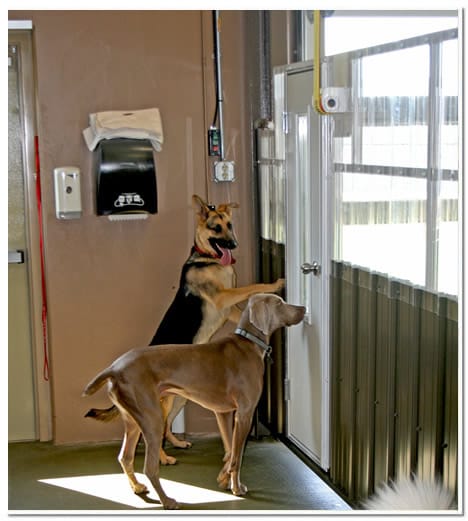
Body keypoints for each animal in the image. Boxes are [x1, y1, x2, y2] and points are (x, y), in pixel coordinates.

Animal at [86, 193, 286, 462]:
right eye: (215, 228)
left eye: (230, 225)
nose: (233, 245)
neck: (207, 258)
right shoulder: (223, 297)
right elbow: (251, 286)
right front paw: (274, 284)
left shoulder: (229, 309)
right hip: (162, 404)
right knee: (153, 434)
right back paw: (163, 457)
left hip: (178, 399)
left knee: (165, 427)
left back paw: (176, 443)